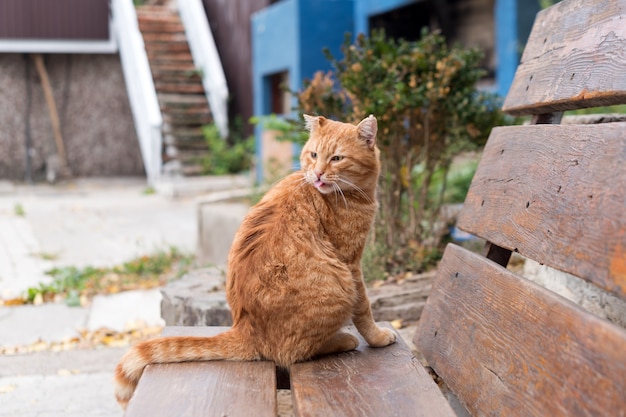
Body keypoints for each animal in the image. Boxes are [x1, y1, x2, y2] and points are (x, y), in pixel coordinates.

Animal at [113, 114, 394, 406]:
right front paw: (377, 337)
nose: (317, 173)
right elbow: (364, 308)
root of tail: (243, 328)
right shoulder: (352, 264)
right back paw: (343, 340)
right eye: (314, 155)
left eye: (336, 158)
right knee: (295, 353)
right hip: (340, 286)